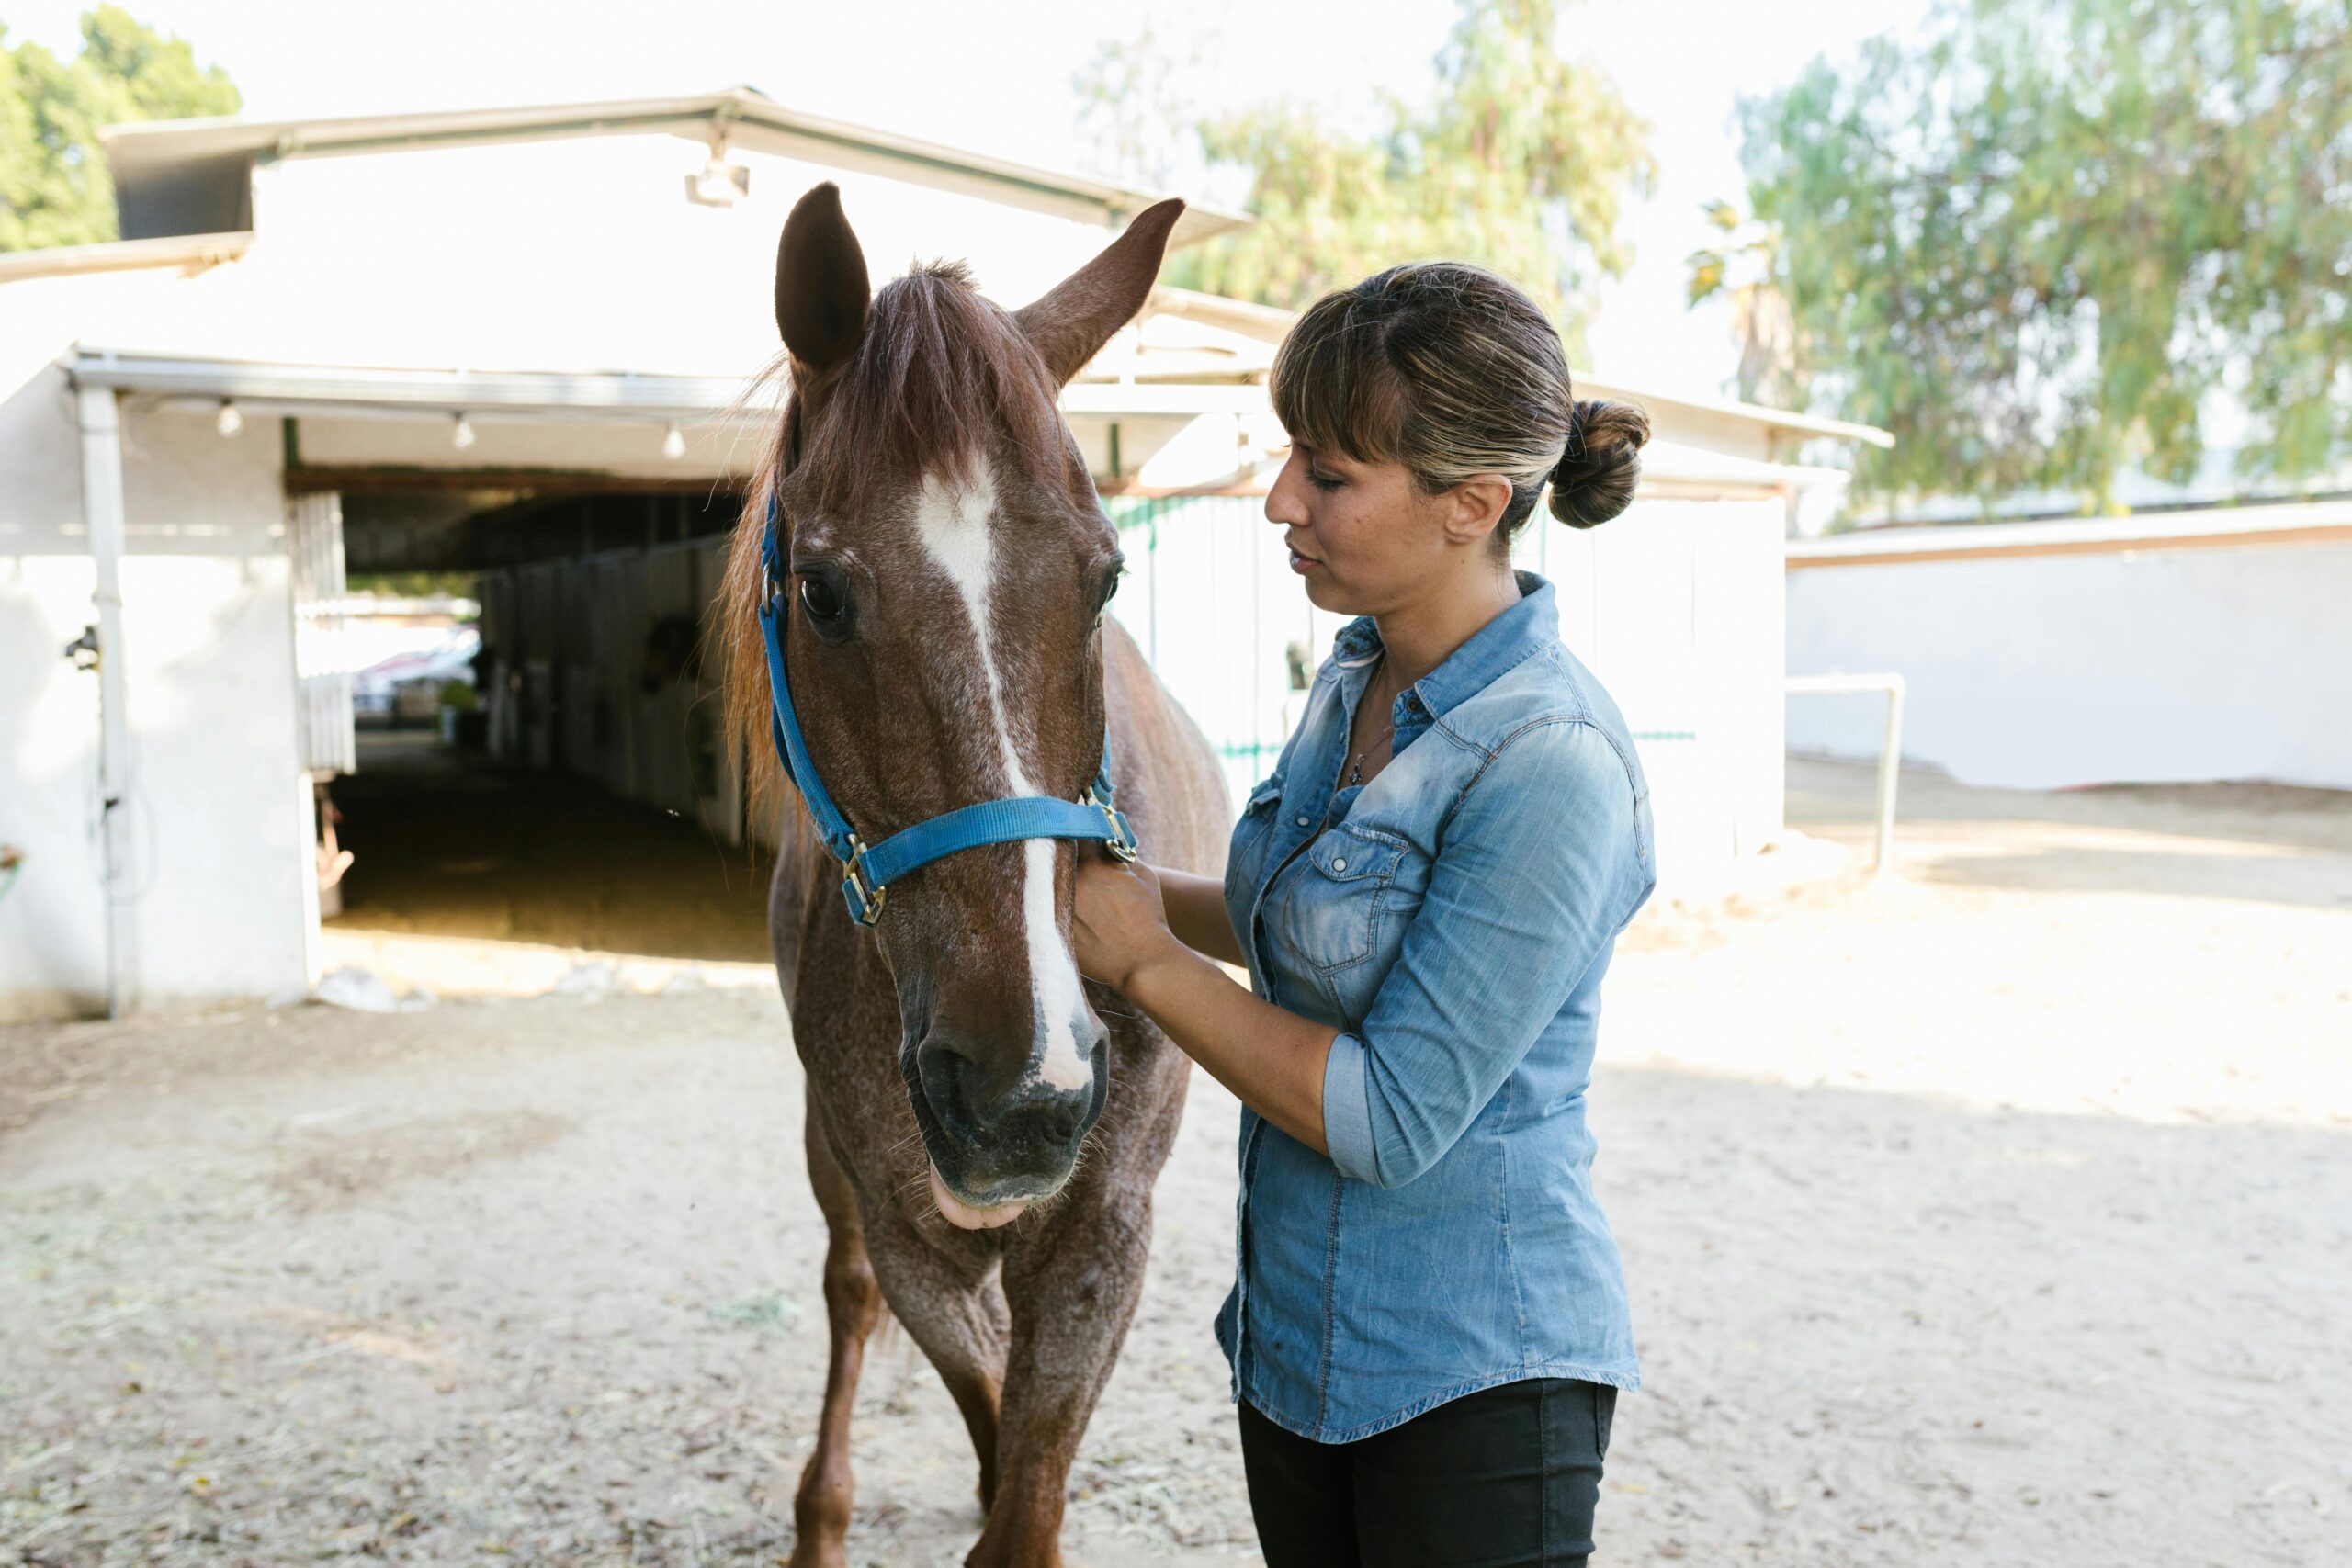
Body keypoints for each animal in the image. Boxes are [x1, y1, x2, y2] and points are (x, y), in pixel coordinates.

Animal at [715, 186, 1232, 1568]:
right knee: (843, 1297)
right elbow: (977, 1397)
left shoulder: (1104, 1235)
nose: (1022, 1092)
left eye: (1105, 576)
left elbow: (1026, 1494)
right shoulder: (915, 1241)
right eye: (820, 592)